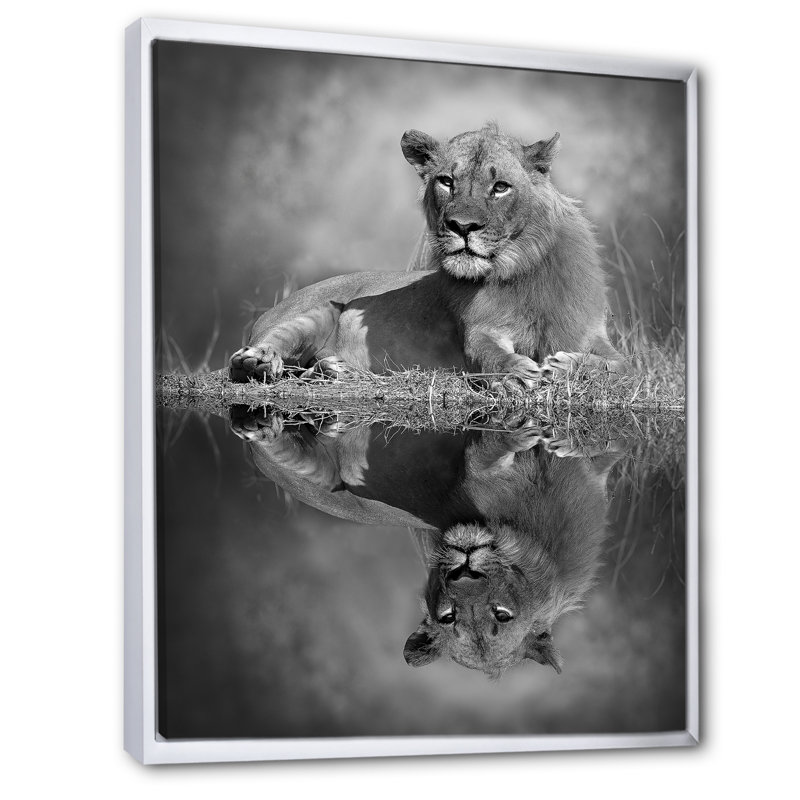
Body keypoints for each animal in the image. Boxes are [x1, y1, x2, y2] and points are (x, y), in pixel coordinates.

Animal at [229, 123, 623, 385]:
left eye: (500, 187)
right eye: (447, 181)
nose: (462, 226)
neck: (520, 268)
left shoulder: (590, 335)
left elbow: (620, 368)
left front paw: (564, 365)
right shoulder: (479, 331)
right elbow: (489, 353)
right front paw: (517, 371)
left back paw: (333, 369)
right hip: (315, 311)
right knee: (259, 352)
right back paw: (260, 360)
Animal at [230, 406, 624, 676]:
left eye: (502, 615)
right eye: (448, 617)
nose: (464, 571)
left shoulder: (588, 475)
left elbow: (604, 447)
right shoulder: (477, 477)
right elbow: (485, 455)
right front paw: (518, 430)